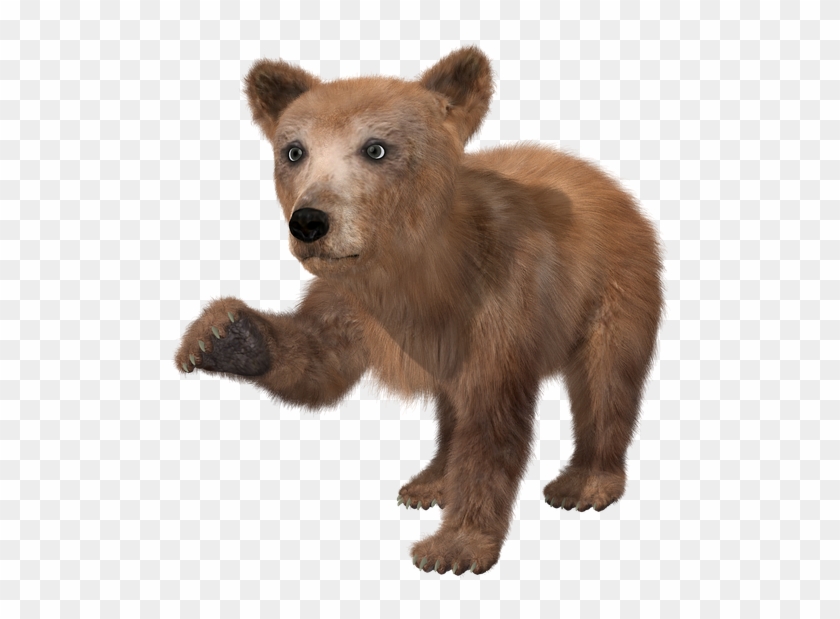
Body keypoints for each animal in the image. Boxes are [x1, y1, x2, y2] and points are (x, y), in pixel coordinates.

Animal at [174, 46, 664, 575]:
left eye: (376, 148)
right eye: (294, 150)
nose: (308, 221)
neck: (413, 275)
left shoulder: (501, 299)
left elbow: (492, 422)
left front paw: (454, 546)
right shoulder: (351, 300)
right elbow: (318, 361)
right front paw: (222, 335)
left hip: (615, 285)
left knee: (606, 378)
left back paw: (586, 483)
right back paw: (431, 482)